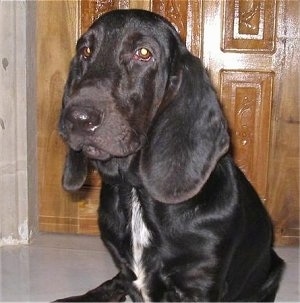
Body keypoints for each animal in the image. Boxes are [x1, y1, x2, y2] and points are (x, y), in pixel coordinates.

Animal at [57, 8, 284, 302]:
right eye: (85, 51)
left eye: (143, 53)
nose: (77, 118)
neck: (136, 194)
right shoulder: (130, 273)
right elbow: (122, 280)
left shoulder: (200, 284)